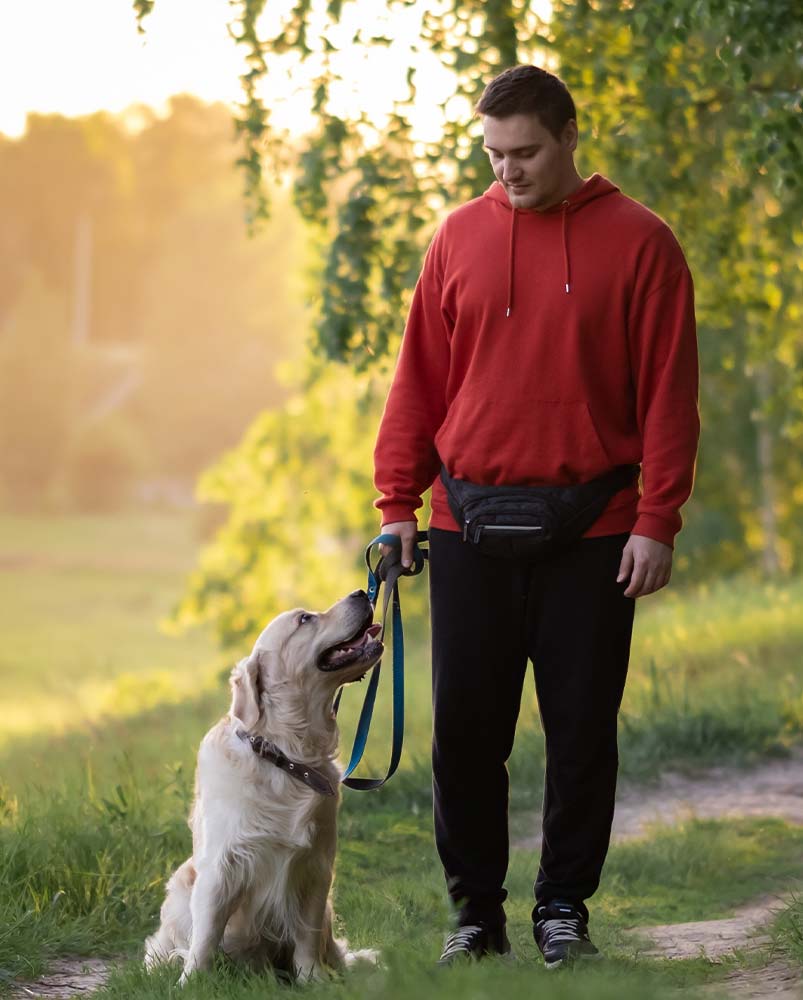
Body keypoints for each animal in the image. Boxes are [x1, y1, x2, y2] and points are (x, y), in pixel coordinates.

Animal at [144, 588, 384, 980]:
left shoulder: (315, 867)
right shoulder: (220, 867)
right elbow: (206, 934)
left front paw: (313, 979)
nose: (362, 591)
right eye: (305, 619)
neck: (284, 755)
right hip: (182, 887)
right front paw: (192, 981)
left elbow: (306, 934)